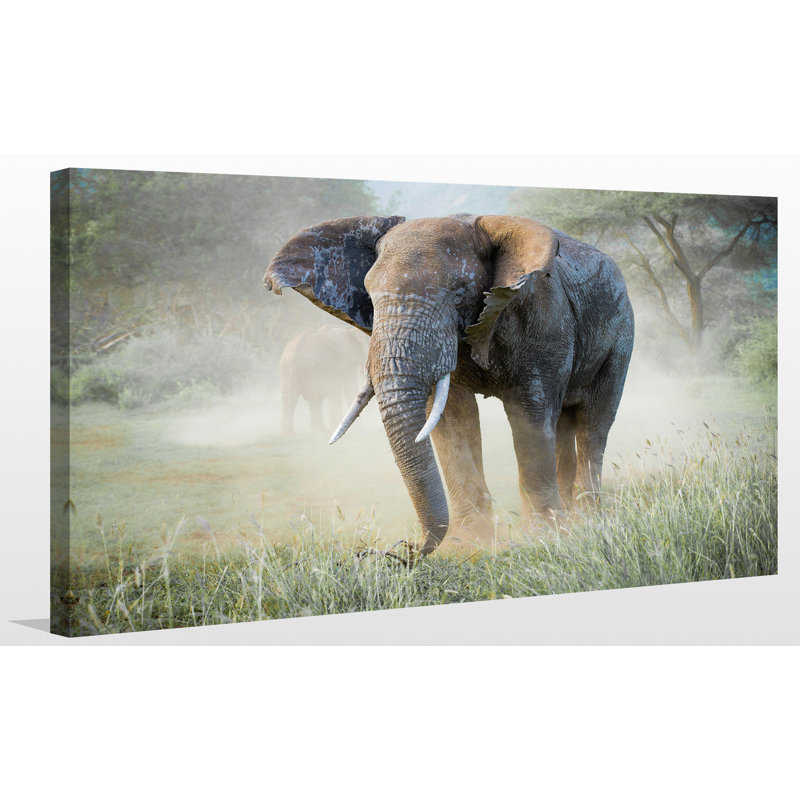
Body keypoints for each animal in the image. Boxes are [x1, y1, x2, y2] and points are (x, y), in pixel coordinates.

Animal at [264, 214, 634, 555]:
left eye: (458, 295)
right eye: (369, 296)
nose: (402, 550)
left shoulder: (542, 316)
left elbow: (530, 413)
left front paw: (543, 537)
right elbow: (452, 417)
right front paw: (469, 543)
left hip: (621, 336)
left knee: (594, 422)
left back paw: (586, 517)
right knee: (566, 424)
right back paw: (572, 517)